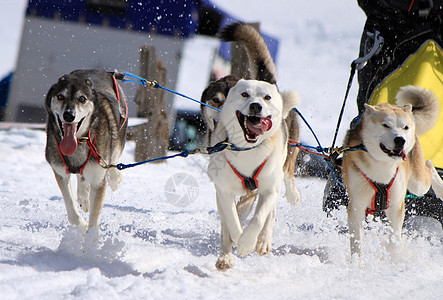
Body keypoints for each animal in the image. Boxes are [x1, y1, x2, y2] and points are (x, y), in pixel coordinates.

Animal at [44, 68, 127, 239]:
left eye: (82, 98)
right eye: (60, 96)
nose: (69, 115)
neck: (79, 140)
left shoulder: (98, 180)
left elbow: (94, 219)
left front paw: (90, 241)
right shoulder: (60, 173)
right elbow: (72, 214)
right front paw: (82, 227)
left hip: (118, 135)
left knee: (114, 159)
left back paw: (114, 178)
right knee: (81, 177)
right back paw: (83, 196)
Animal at [208, 21, 302, 270]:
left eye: (266, 98)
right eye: (244, 94)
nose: (256, 106)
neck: (246, 150)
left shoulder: (268, 188)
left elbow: (259, 217)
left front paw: (247, 242)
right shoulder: (223, 190)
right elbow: (231, 219)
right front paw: (236, 239)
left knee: (271, 211)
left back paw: (263, 241)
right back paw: (225, 256)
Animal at [342, 85, 438, 255]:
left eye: (405, 127)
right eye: (385, 125)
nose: (400, 140)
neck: (382, 165)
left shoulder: (396, 205)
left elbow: (395, 238)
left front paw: (395, 256)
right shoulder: (357, 206)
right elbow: (357, 242)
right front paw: (356, 262)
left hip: (418, 183)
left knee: (430, 167)